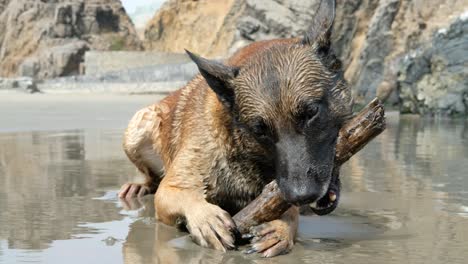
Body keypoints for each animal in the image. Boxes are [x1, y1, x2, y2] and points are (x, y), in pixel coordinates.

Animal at [119, 0, 352, 256]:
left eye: (311, 113)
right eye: (260, 130)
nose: (301, 195)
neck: (240, 145)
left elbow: (286, 207)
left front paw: (283, 226)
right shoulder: (172, 187)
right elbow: (181, 195)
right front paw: (204, 217)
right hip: (138, 127)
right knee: (151, 178)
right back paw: (140, 185)